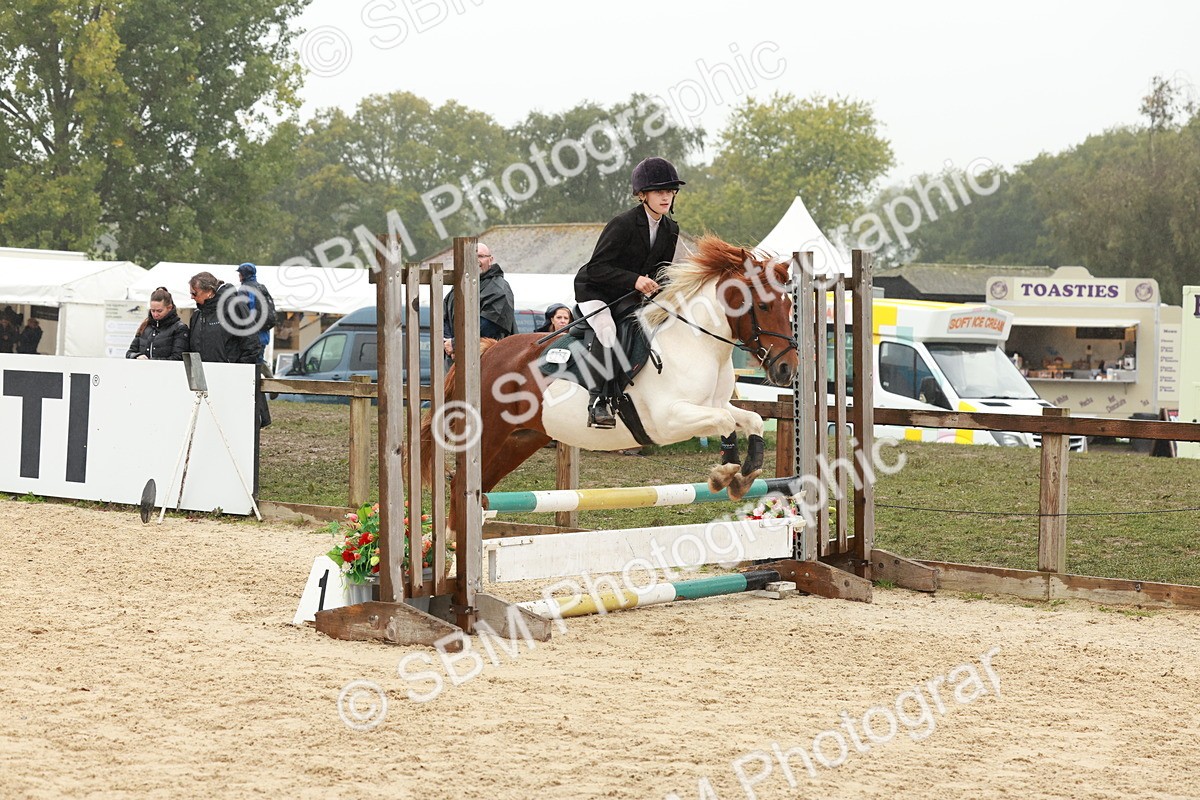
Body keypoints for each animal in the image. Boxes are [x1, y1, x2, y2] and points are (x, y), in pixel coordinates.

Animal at [420, 235, 798, 506]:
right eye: (763, 305)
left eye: (791, 305)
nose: (786, 369)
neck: (698, 343)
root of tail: (487, 353)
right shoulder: (668, 418)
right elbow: (723, 423)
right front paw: (725, 473)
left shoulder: (715, 405)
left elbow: (750, 419)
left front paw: (745, 475)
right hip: (488, 433)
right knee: (461, 485)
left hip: (520, 438)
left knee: (479, 487)